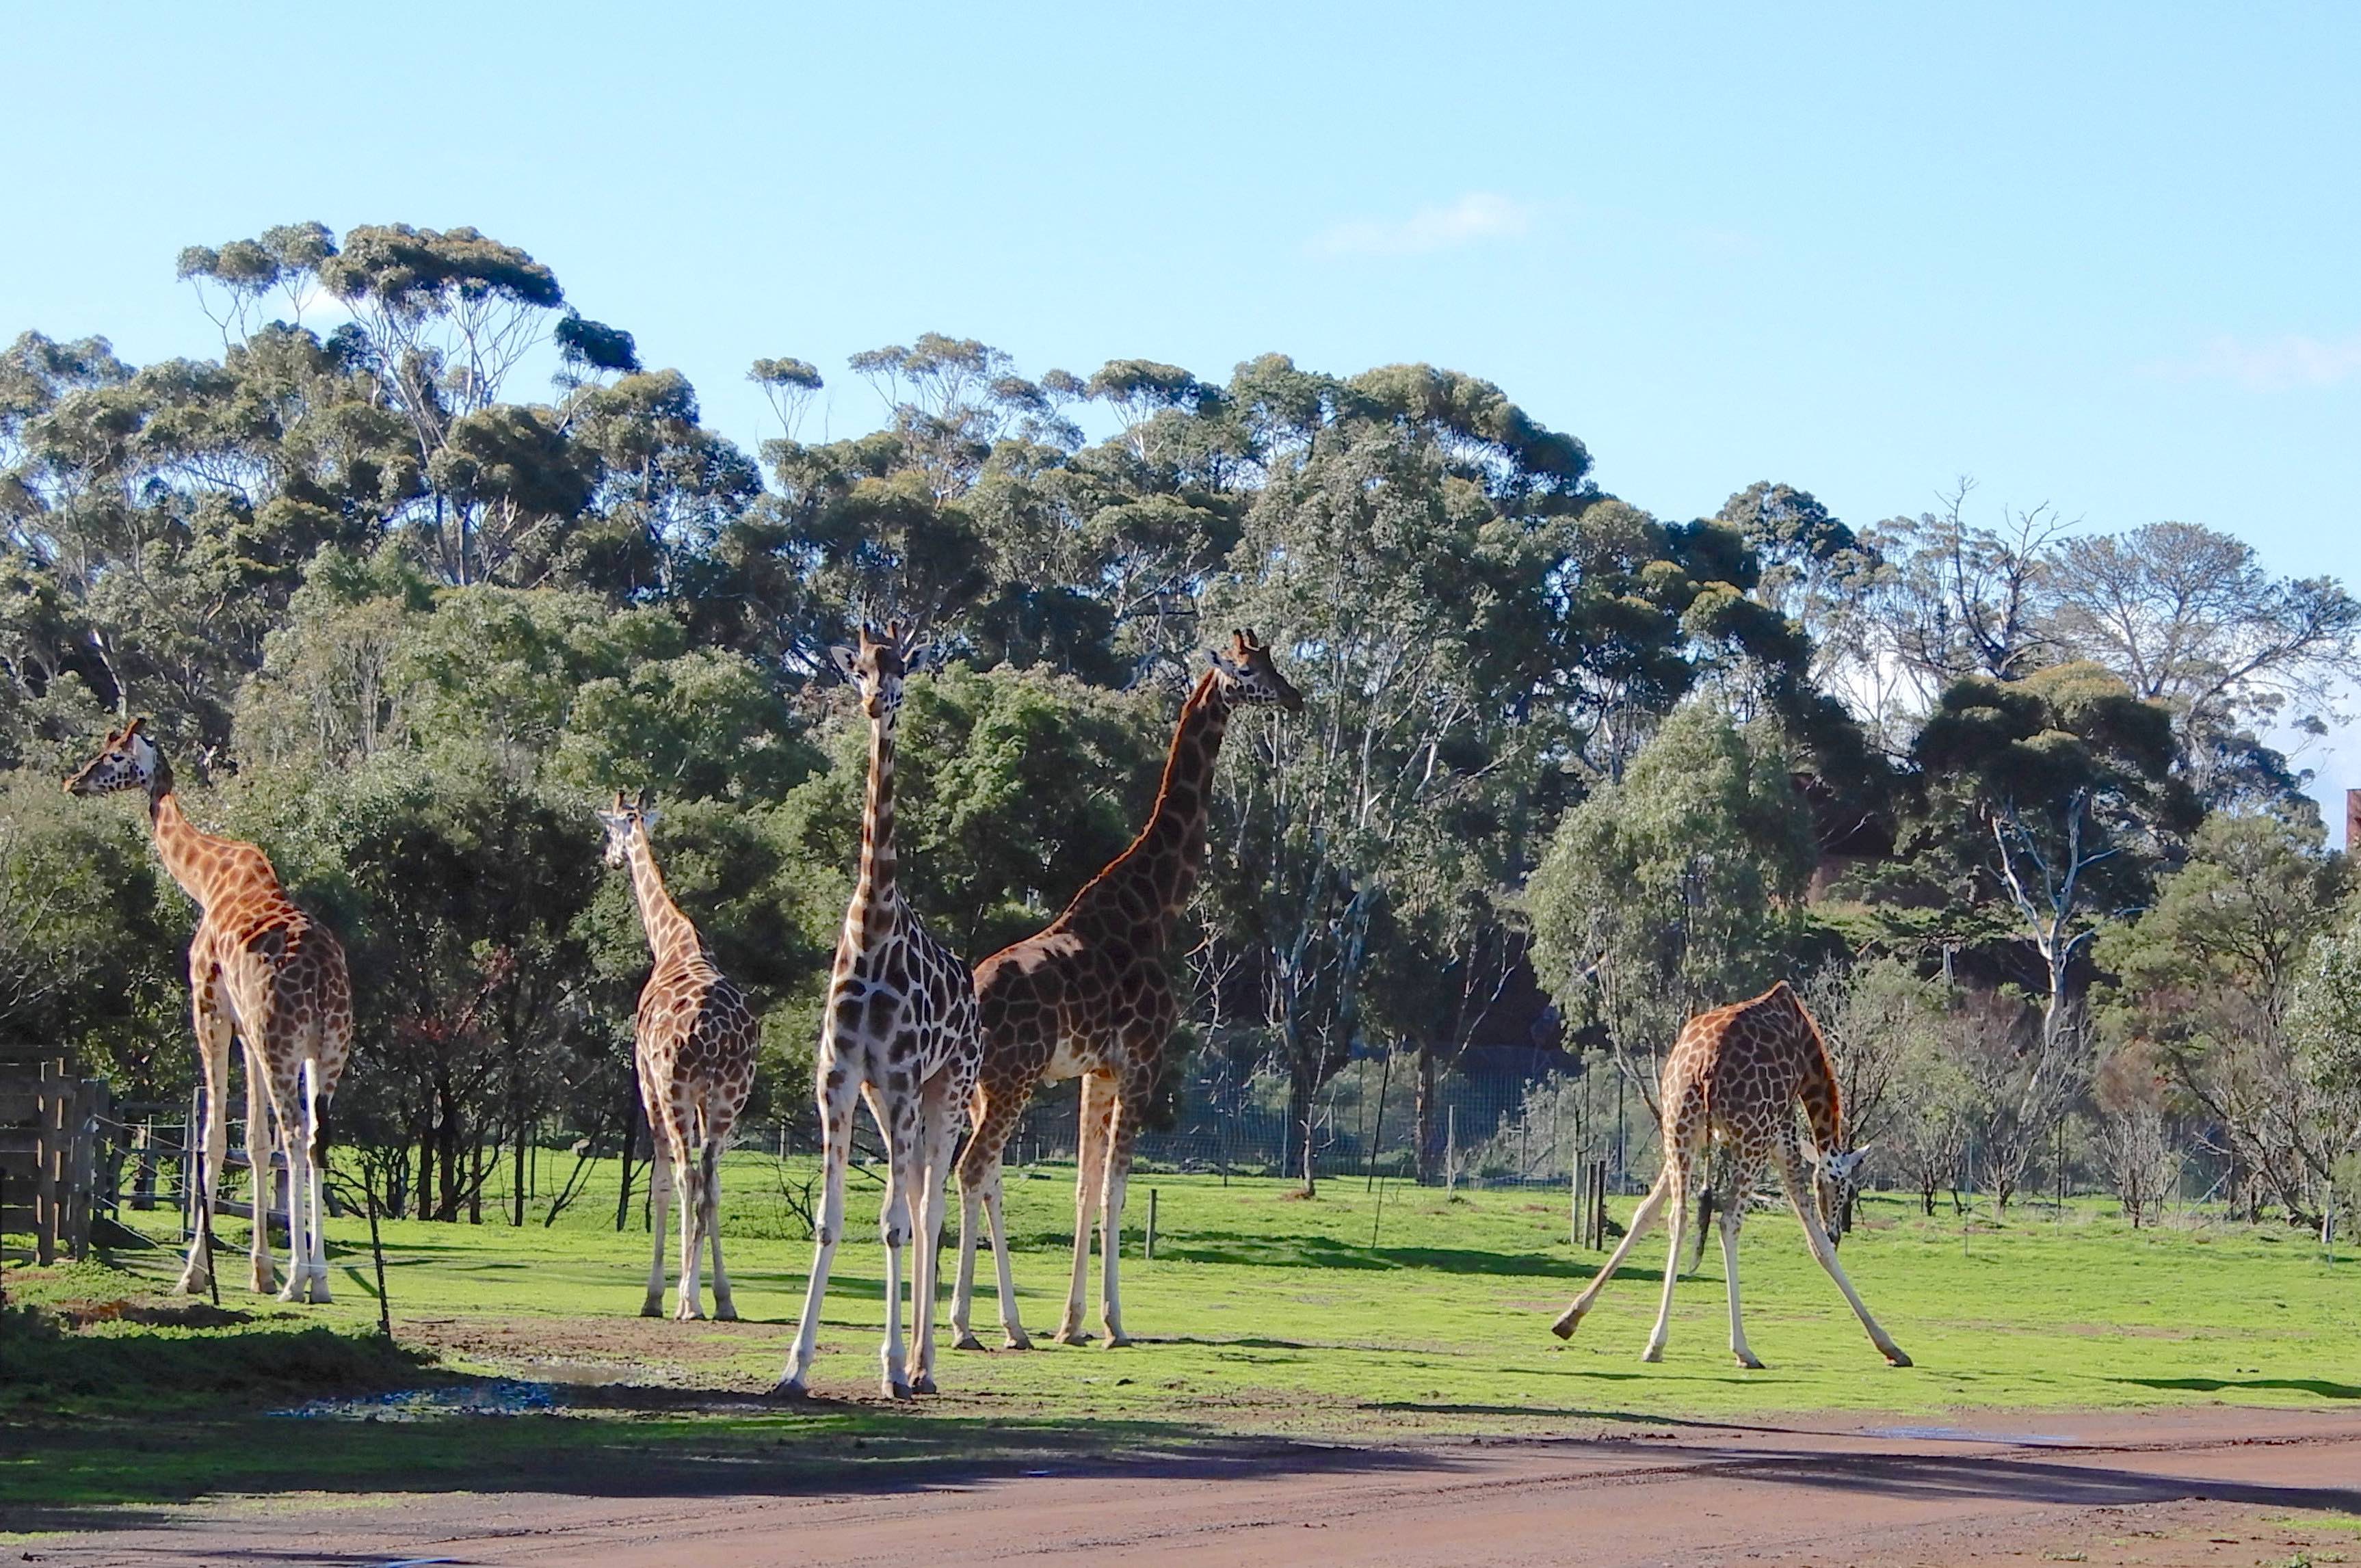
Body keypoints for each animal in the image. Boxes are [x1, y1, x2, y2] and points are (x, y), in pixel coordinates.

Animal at [64, 718, 352, 1303]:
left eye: (113, 755)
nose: (74, 782)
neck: (206, 880)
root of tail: (324, 980)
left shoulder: (209, 1007)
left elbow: (214, 1138)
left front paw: (195, 1273)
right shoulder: (246, 1029)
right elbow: (255, 1141)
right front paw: (259, 1272)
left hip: (282, 1041)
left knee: (295, 1134)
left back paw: (297, 1281)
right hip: (326, 1049)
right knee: (315, 1137)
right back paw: (319, 1281)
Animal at [596, 789, 757, 1322]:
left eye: (610, 829)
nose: (610, 858)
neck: (671, 943)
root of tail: (710, 1029)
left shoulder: (647, 1083)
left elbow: (663, 1183)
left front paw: (655, 1296)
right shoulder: (711, 1098)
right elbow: (714, 1186)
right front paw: (717, 1294)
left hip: (675, 1088)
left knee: (687, 1174)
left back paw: (687, 1301)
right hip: (730, 1095)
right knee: (707, 1177)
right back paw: (718, 1300)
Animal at [777, 621, 984, 1400]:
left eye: (901, 668)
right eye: (860, 666)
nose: (876, 702)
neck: (872, 928)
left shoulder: (898, 1079)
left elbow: (893, 1223)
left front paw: (893, 1365)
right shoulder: (839, 1081)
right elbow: (829, 1221)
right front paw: (794, 1366)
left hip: (948, 1089)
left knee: (929, 1209)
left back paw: (923, 1366)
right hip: (895, 1099)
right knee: (921, 1196)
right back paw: (921, 1361)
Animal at [951, 629, 1302, 1352]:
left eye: (1273, 663)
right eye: (1250, 671)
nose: (1296, 697)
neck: (1155, 905)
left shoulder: (1099, 1069)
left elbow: (1085, 1187)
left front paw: (1072, 1322)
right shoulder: (1144, 1057)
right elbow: (1116, 1187)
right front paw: (1114, 1323)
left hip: (983, 1086)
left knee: (986, 1175)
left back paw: (1013, 1325)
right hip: (1013, 1079)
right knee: (972, 1170)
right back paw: (966, 1326)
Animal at [1549, 980, 1910, 1368]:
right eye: (1845, 1189)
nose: (1838, 1230)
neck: (1808, 1054)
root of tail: (1706, 1066)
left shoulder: (1700, 1138)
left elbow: (1645, 1213)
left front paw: (1570, 1318)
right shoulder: (1782, 1137)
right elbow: (1817, 1245)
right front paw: (1891, 1347)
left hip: (1677, 1125)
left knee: (1679, 1216)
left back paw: (1656, 1343)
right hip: (1752, 1139)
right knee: (1728, 1222)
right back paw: (1743, 1349)